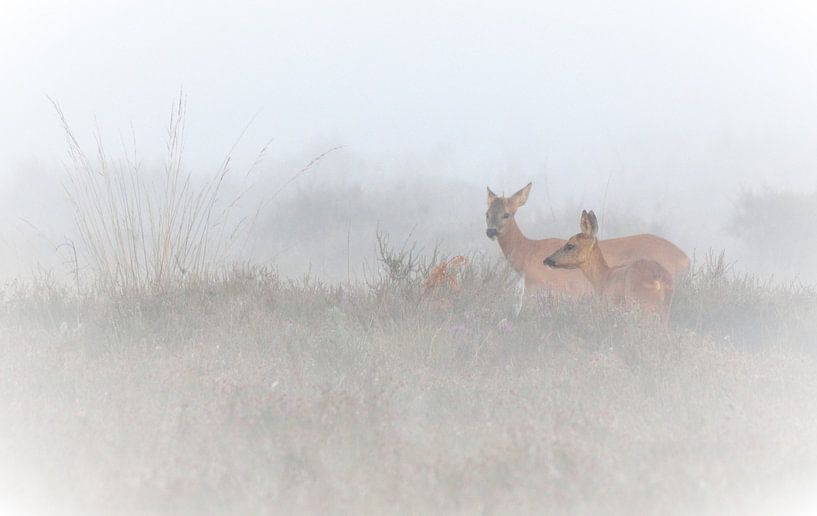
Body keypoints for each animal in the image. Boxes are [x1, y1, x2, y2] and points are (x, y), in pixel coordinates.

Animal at [486, 182, 688, 301]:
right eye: (486, 213)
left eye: (506, 214)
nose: (490, 231)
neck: (528, 253)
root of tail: (685, 258)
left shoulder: (541, 286)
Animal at [544, 210, 674, 325]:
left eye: (570, 245)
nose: (547, 260)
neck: (602, 278)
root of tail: (658, 279)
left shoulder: (606, 304)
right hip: (665, 310)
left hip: (640, 304)